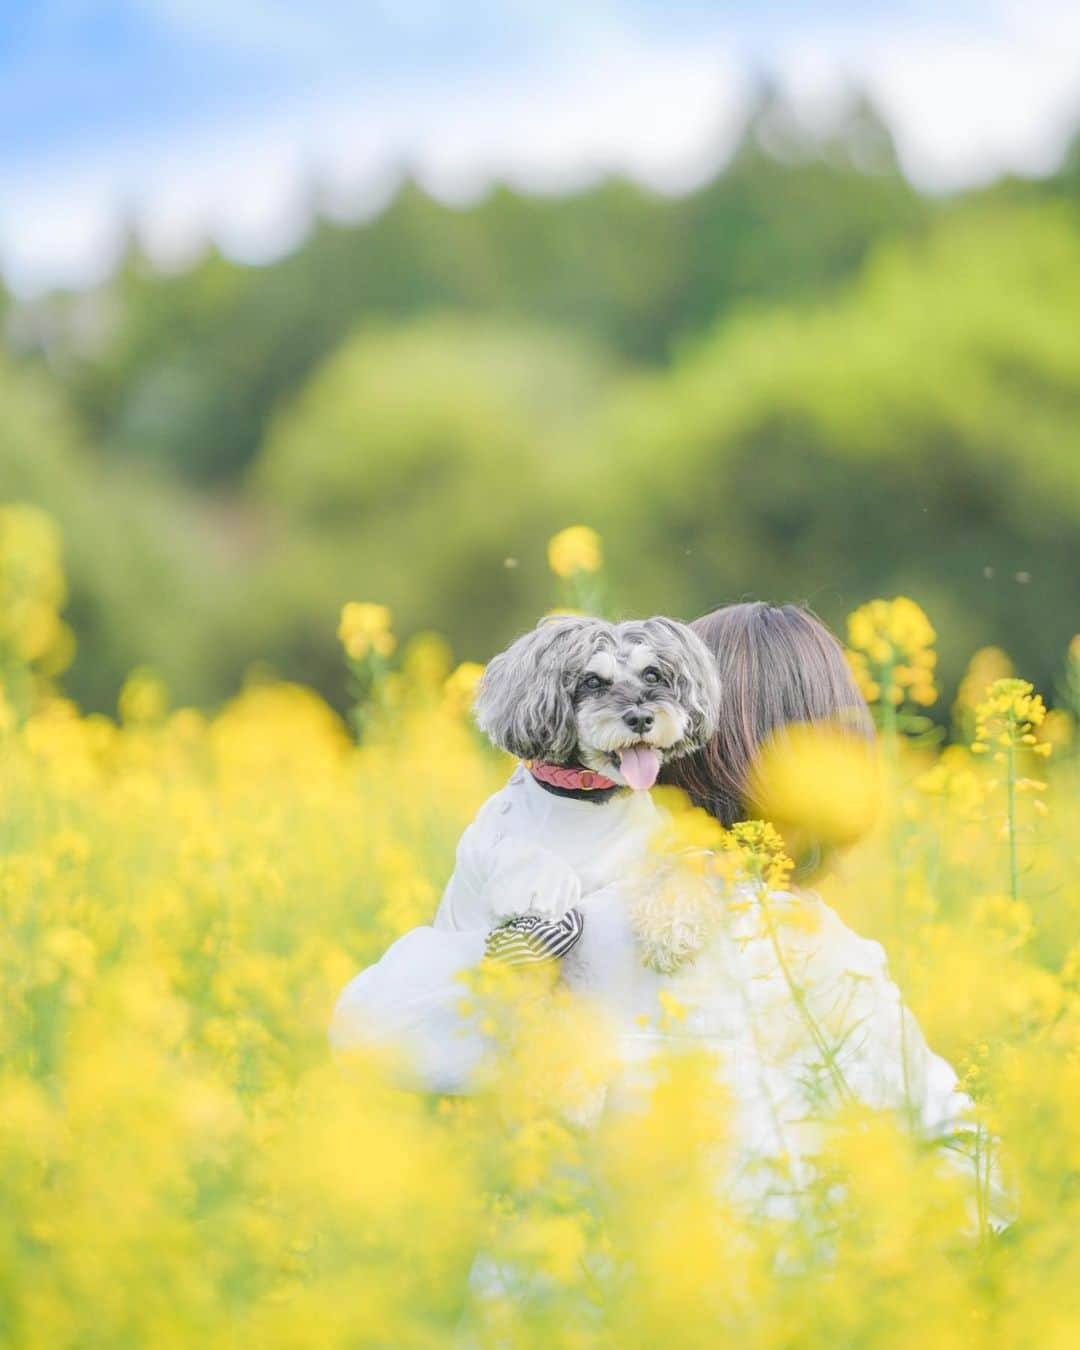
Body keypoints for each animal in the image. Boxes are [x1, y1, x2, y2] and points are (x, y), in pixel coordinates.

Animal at [434, 618, 723, 945]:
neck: (583, 797)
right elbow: (514, 847)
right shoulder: (485, 842)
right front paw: (541, 886)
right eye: (592, 682)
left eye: (652, 675)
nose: (640, 718)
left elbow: (668, 866)